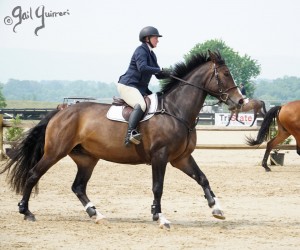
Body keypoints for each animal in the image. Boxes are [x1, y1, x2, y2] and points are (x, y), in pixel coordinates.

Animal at [0, 50, 244, 229]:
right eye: (225, 74)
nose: (240, 101)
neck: (176, 110)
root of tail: (62, 110)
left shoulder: (181, 158)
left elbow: (202, 178)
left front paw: (216, 208)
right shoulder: (161, 156)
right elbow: (158, 187)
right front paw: (160, 217)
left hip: (87, 159)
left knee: (78, 186)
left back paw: (95, 214)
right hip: (54, 152)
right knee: (34, 174)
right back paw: (26, 211)